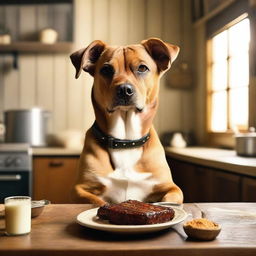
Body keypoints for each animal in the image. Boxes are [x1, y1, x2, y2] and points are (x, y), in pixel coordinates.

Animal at [69, 38, 183, 206]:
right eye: (106, 70)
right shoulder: (79, 190)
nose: (124, 90)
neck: (125, 141)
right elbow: (97, 202)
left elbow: (170, 199)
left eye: (142, 68)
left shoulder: (171, 187)